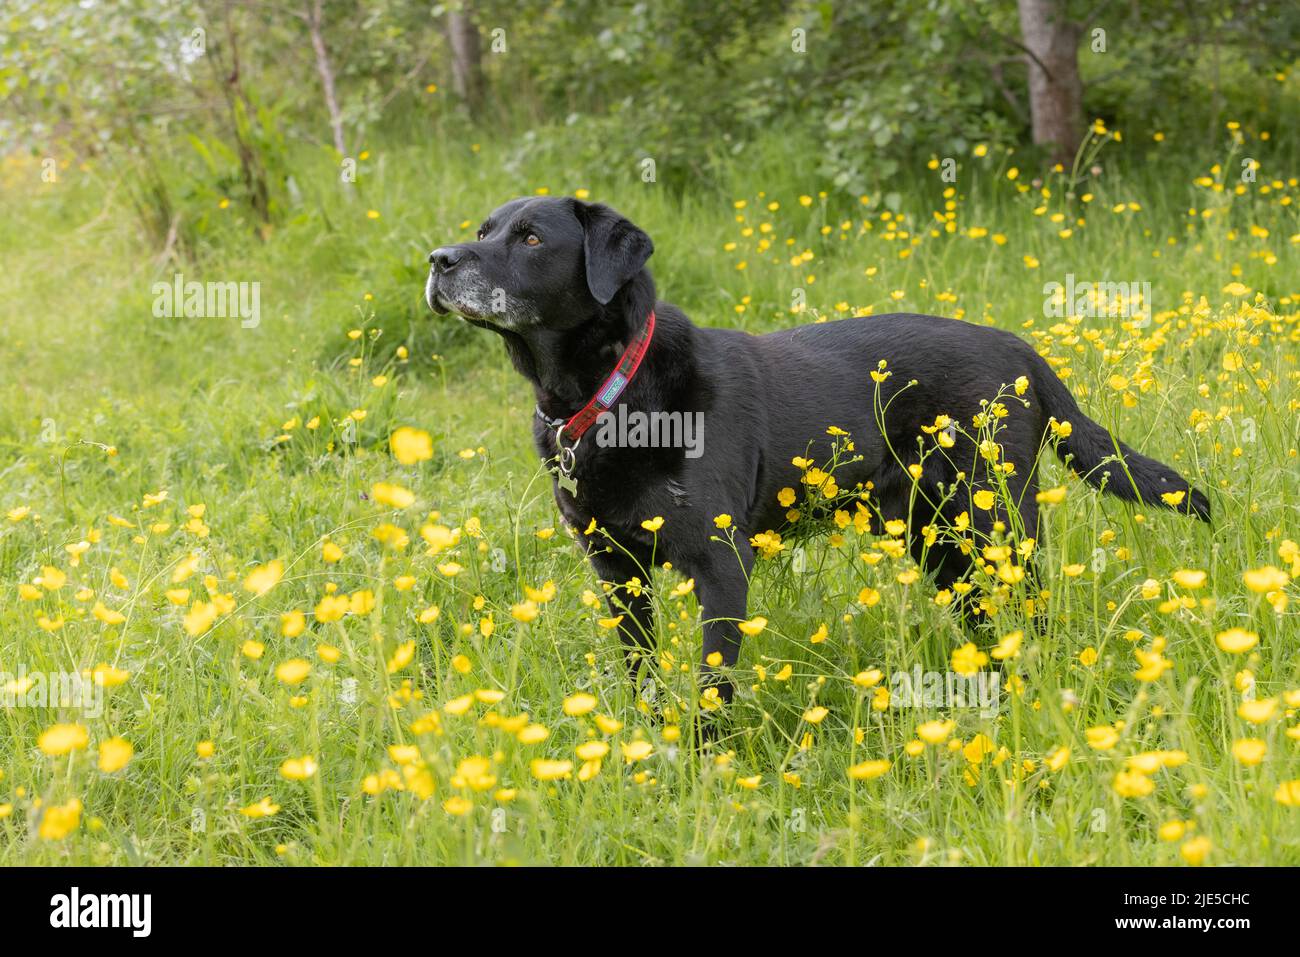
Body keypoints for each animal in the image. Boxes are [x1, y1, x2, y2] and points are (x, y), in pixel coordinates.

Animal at [426, 196, 1206, 702]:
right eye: (483, 229)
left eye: (531, 239)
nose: (438, 259)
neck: (609, 392)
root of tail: (1021, 350)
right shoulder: (617, 572)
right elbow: (642, 677)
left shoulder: (721, 563)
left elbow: (711, 683)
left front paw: (707, 770)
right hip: (934, 536)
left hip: (995, 522)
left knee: (1032, 606)